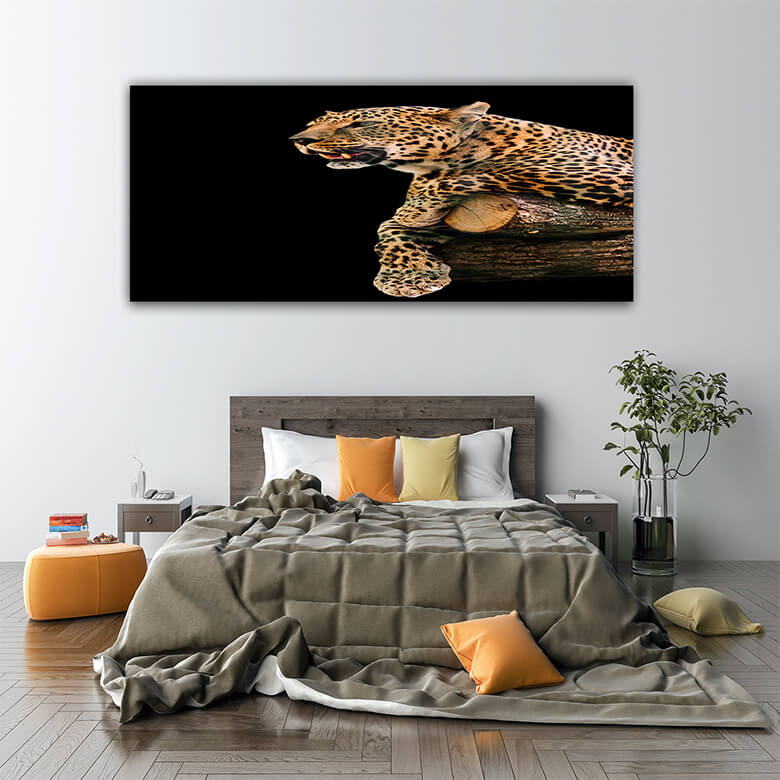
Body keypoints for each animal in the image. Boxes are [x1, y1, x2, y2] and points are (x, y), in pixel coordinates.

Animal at [290, 102, 633, 298]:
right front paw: (409, 276)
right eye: (311, 125)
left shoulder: (612, 173)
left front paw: (414, 210)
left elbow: (505, 167)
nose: (299, 140)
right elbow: (387, 231)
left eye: (360, 124)